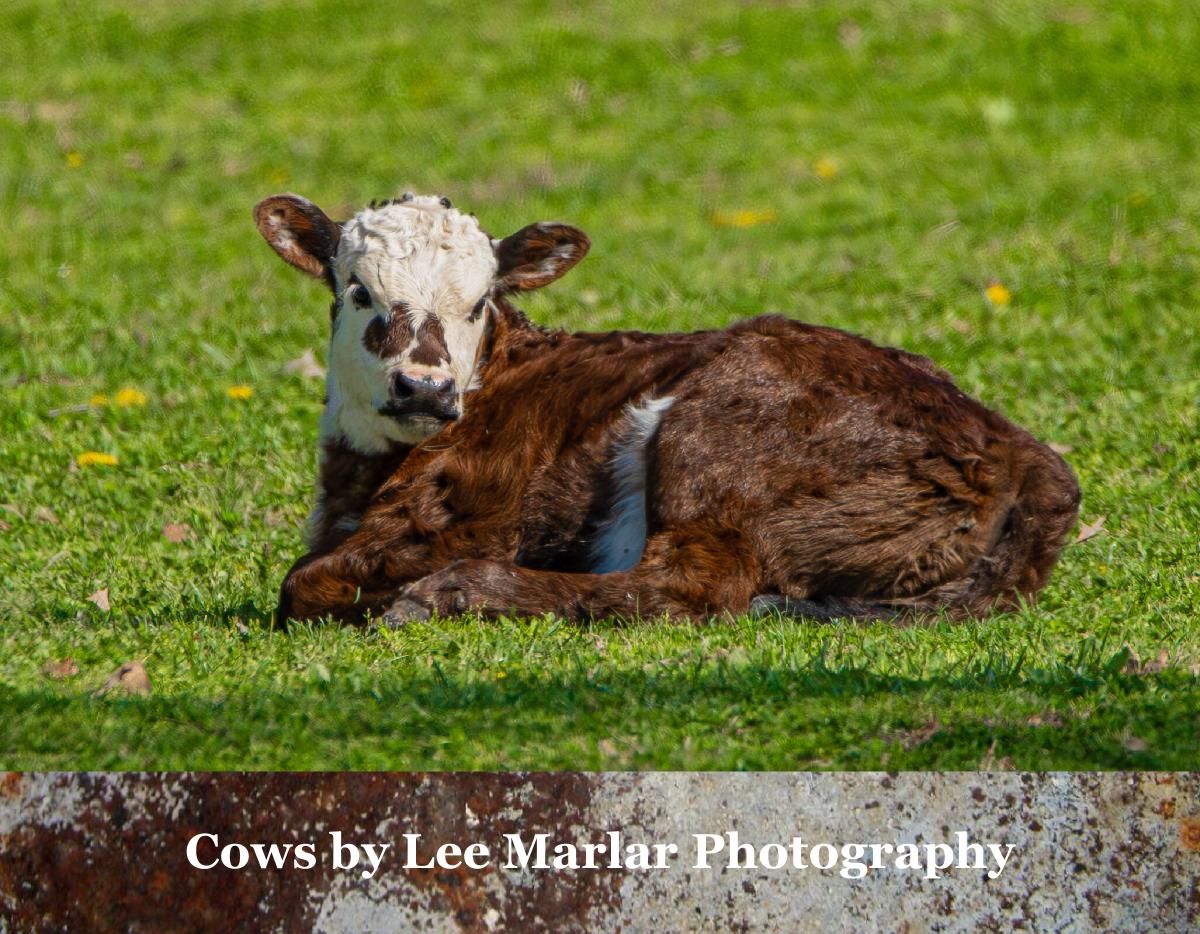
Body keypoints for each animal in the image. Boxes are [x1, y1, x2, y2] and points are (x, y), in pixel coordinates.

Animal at [254, 192, 1081, 628]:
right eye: (358, 290)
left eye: (480, 302)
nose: (425, 388)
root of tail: (1015, 445)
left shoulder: (468, 514)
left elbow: (302, 583)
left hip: (718, 444)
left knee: (688, 583)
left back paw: (453, 594)